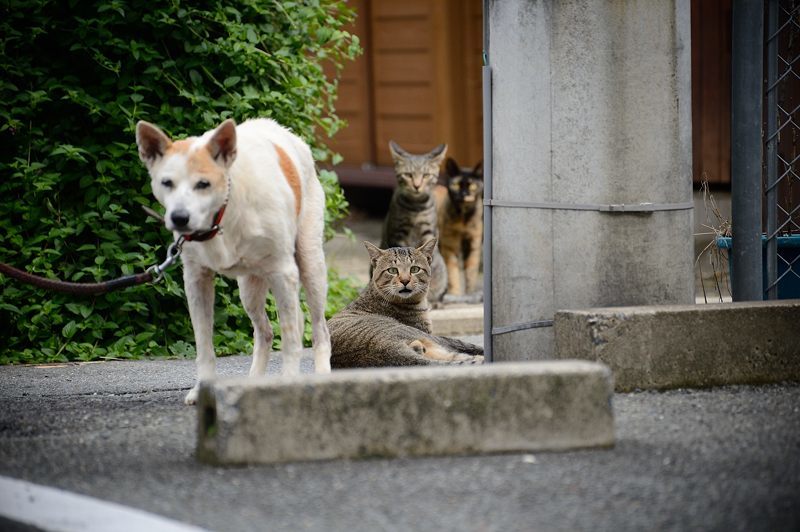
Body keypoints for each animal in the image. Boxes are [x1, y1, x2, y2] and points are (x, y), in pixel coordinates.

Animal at [136, 117, 330, 404]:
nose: (179, 218)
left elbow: (292, 342)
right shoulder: (196, 280)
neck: (224, 212)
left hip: (310, 264)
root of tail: (284, 130)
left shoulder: (284, 273)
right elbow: (204, 346)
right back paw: (253, 381)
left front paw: (289, 382)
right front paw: (202, 390)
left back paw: (323, 375)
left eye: (203, 184)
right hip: (249, 288)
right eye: (166, 182)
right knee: (265, 332)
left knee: (318, 330)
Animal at [328, 239, 484, 368]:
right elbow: (463, 343)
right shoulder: (429, 333)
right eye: (392, 270)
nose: (404, 280)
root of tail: (384, 349)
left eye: (415, 269)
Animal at [382, 141, 450, 306]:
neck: (416, 207)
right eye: (408, 175)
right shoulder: (398, 232)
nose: (417, 186)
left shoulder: (428, 231)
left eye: (426, 175)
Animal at [434, 158, 484, 298]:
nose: (464, 194)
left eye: (472, 186)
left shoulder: (473, 245)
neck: (463, 220)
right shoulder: (450, 245)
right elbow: (453, 271)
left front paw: (471, 293)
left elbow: (471, 271)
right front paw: (455, 293)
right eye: (456, 185)